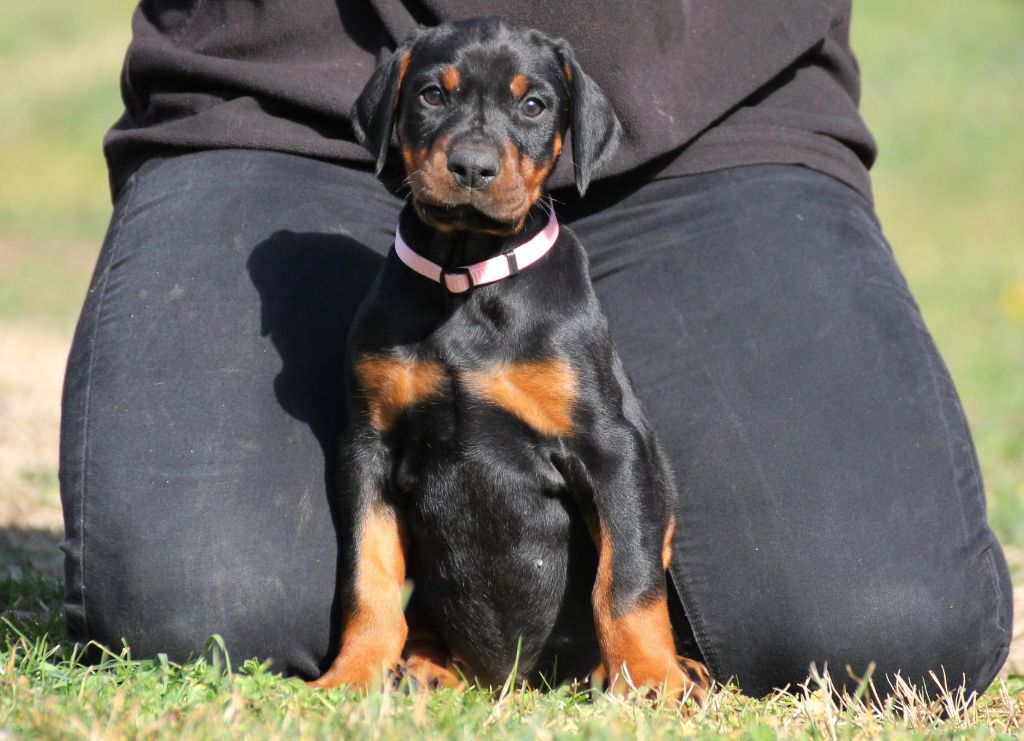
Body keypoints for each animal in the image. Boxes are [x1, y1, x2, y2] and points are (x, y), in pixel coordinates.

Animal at [310, 18, 709, 702]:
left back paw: (676, 669)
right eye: (431, 95)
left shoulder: (613, 447)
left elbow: (627, 578)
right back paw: (427, 665)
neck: (467, 278)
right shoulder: (367, 447)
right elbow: (368, 575)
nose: (472, 166)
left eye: (534, 106)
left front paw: (652, 680)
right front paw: (352, 676)